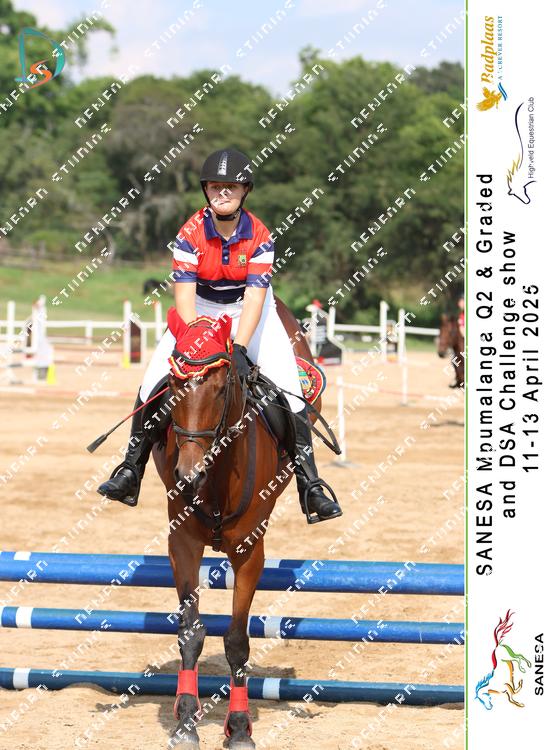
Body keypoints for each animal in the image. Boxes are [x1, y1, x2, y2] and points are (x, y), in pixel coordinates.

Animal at [149, 298, 331, 749]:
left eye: (219, 388)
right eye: (173, 386)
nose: (188, 474)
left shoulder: (249, 549)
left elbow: (235, 640)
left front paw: (240, 728)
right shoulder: (182, 543)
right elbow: (192, 631)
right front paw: (185, 721)